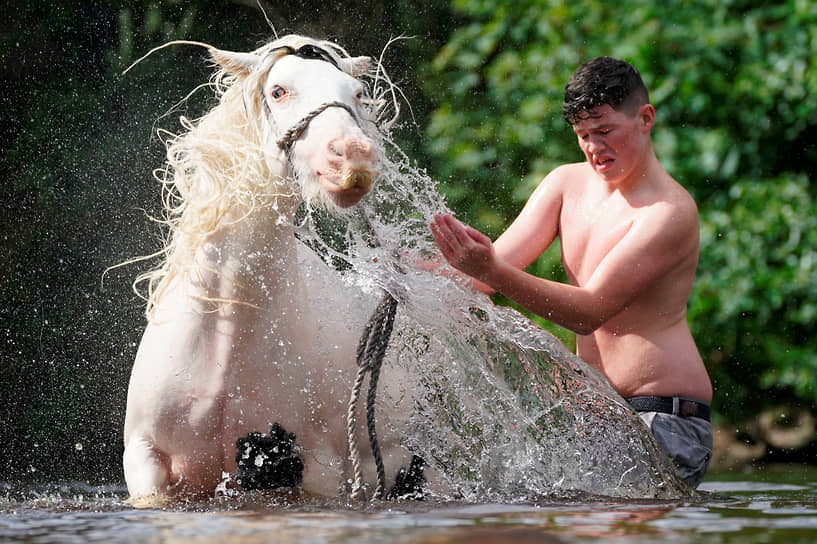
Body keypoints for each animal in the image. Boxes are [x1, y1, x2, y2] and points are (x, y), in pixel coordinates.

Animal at [123, 33, 412, 502]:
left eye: (356, 94)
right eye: (278, 91)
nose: (352, 157)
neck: (227, 331)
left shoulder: (311, 469)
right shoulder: (146, 459)